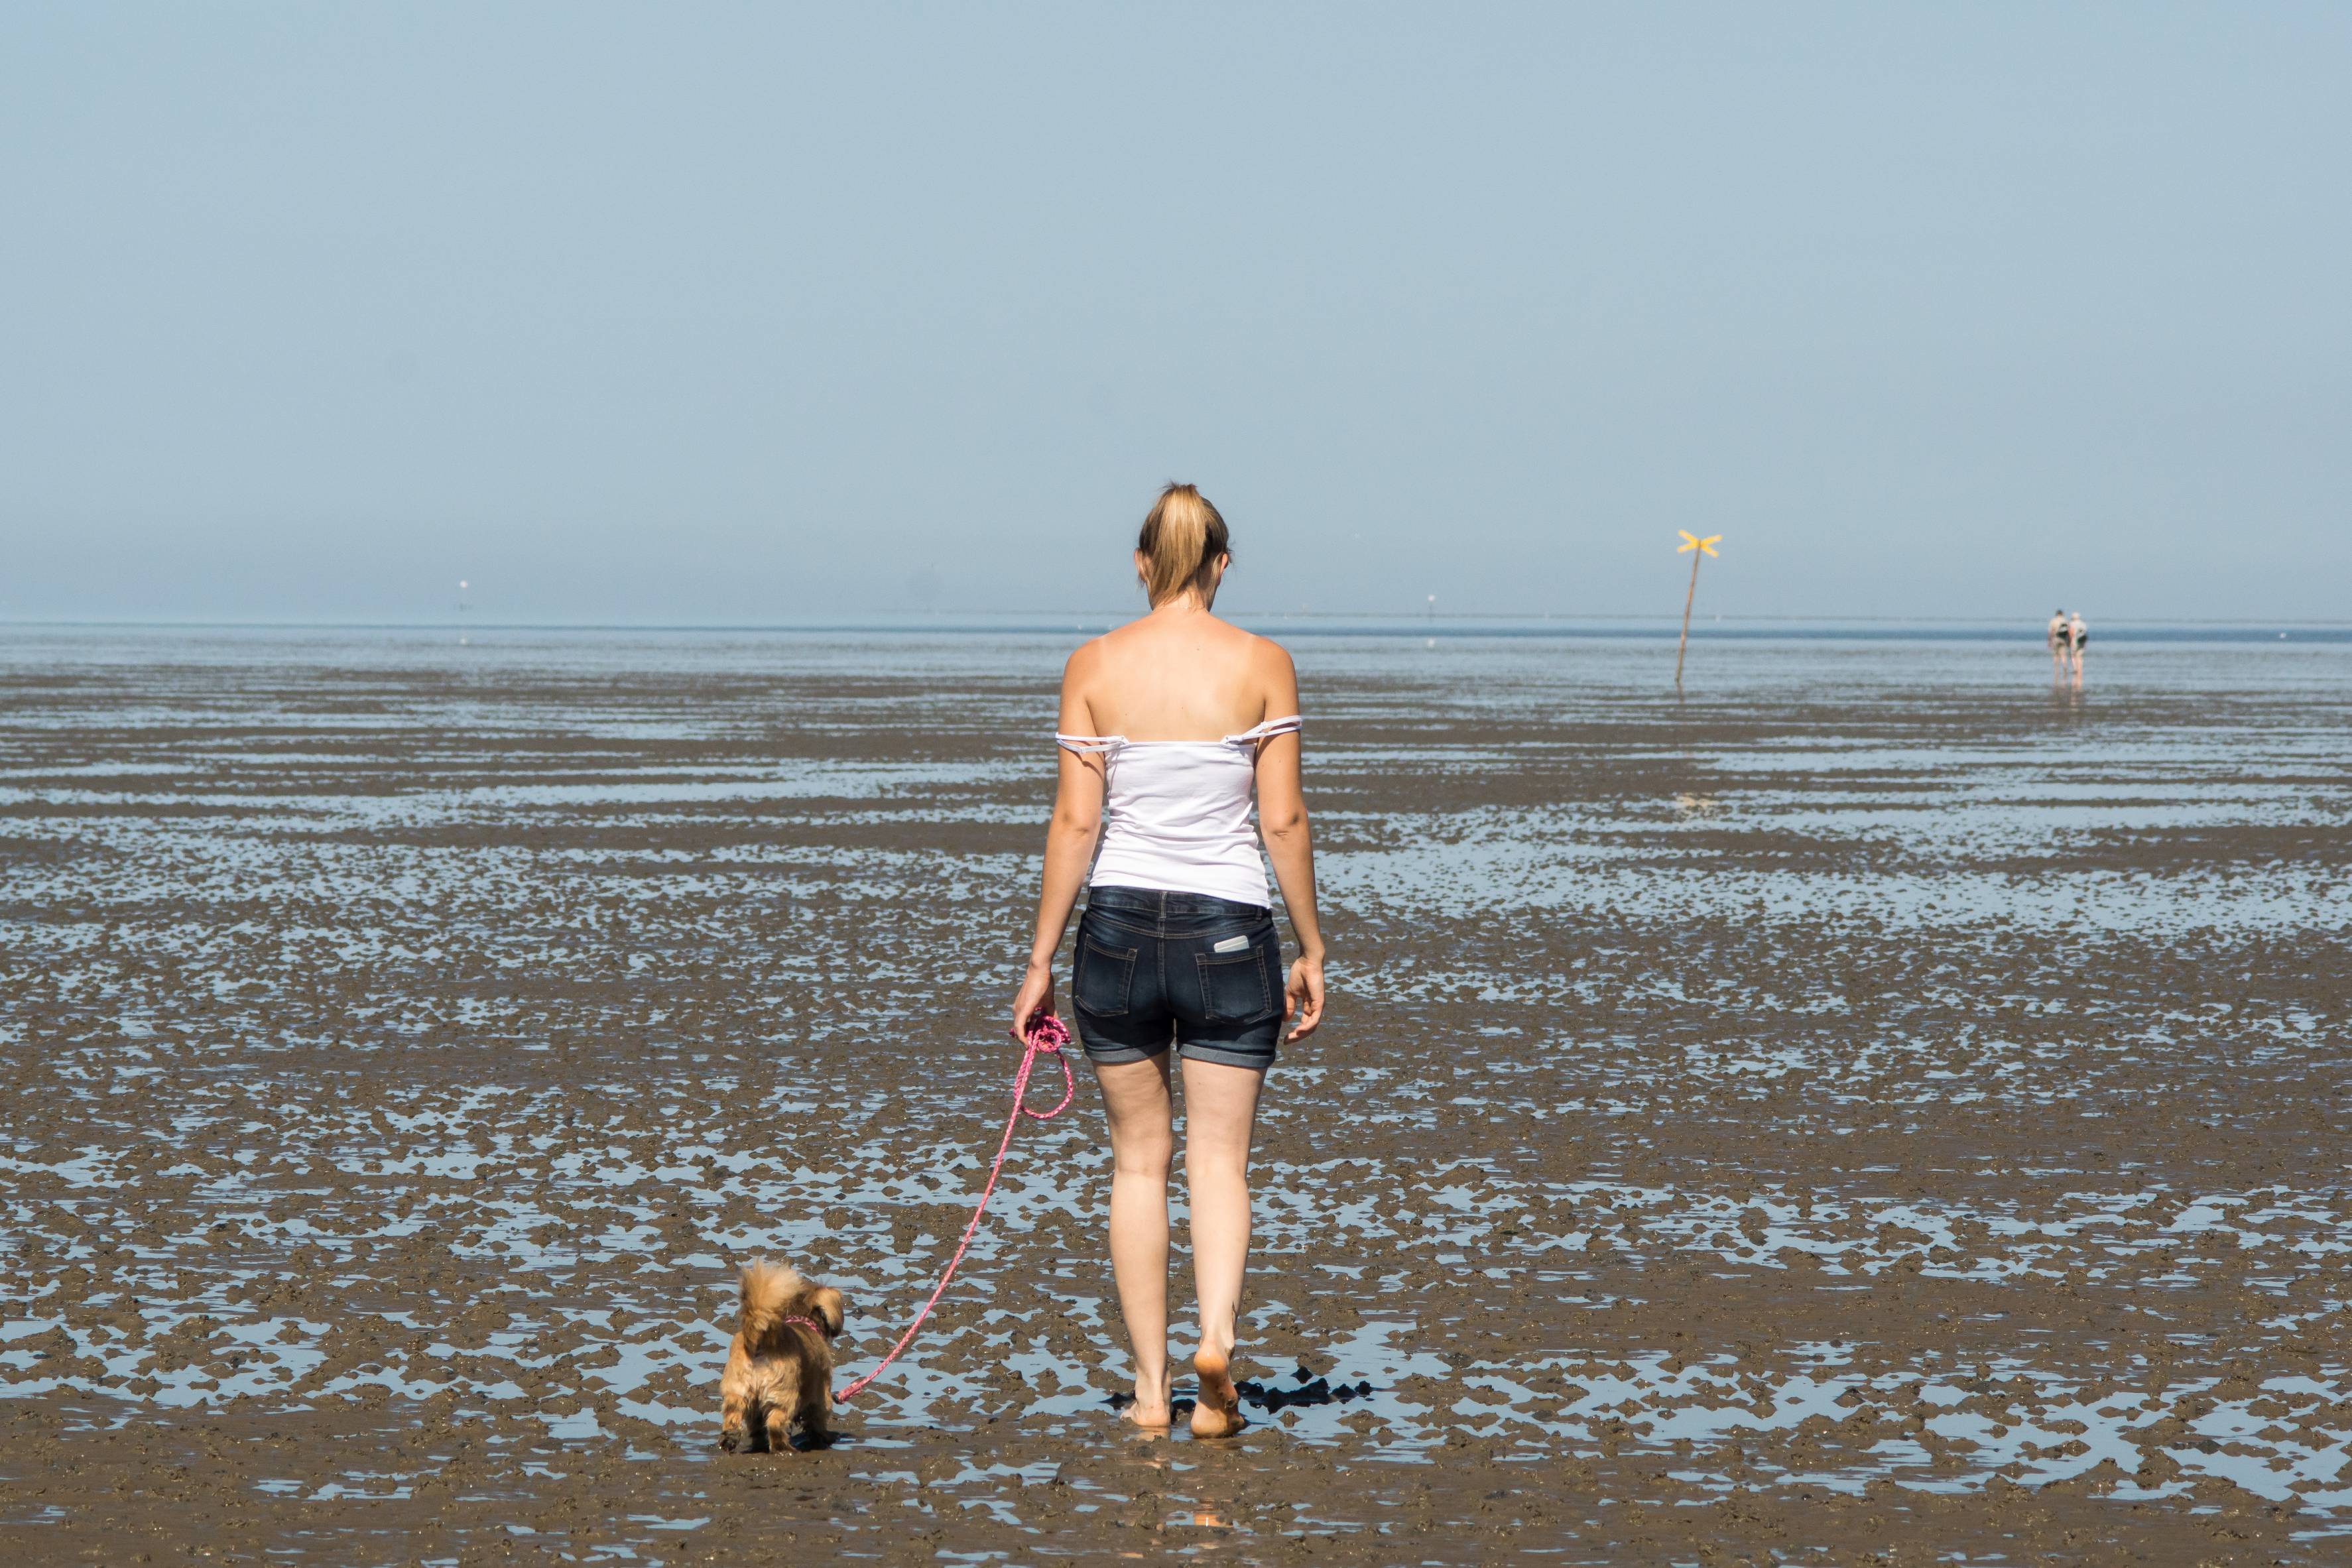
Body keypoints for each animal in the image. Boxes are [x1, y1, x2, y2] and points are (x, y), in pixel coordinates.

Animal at [724, 1260, 856, 1457]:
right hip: (784, 1394)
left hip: (737, 1391)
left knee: (736, 1417)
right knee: (776, 1425)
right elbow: (818, 1417)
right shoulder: (821, 1392)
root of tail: (760, 1341)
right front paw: (823, 1437)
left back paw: (730, 1440)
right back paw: (785, 1449)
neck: (803, 1320)